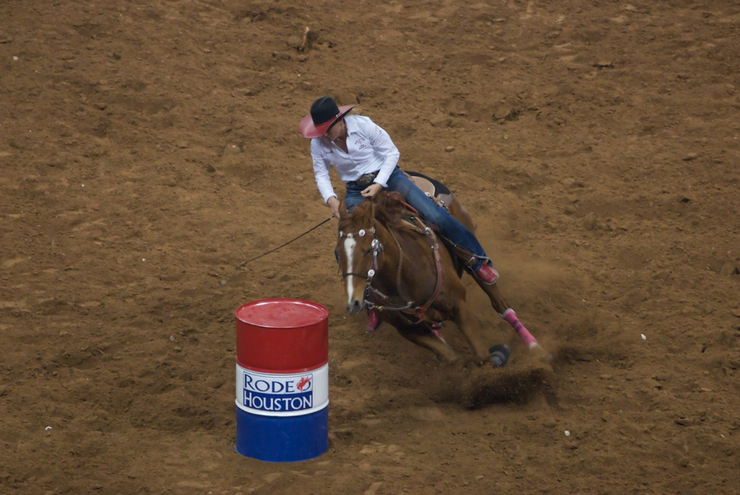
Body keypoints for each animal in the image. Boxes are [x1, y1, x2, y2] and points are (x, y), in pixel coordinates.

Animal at [334, 182, 544, 368]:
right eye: (339, 253)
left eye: (368, 250)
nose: (353, 303)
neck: (404, 278)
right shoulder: (409, 330)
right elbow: (451, 357)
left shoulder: (458, 305)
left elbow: (482, 355)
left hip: (472, 255)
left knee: (499, 301)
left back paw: (535, 347)